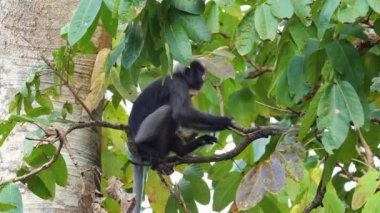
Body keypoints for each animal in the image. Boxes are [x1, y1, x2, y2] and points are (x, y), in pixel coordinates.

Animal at [129, 59, 233, 211]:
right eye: (200, 73)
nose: (203, 80)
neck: (179, 75)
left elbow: (184, 117)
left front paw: (216, 129)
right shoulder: (178, 84)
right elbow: (180, 113)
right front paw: (223, 121)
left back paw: (184, 149)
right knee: (168, 110)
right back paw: (142, 145)